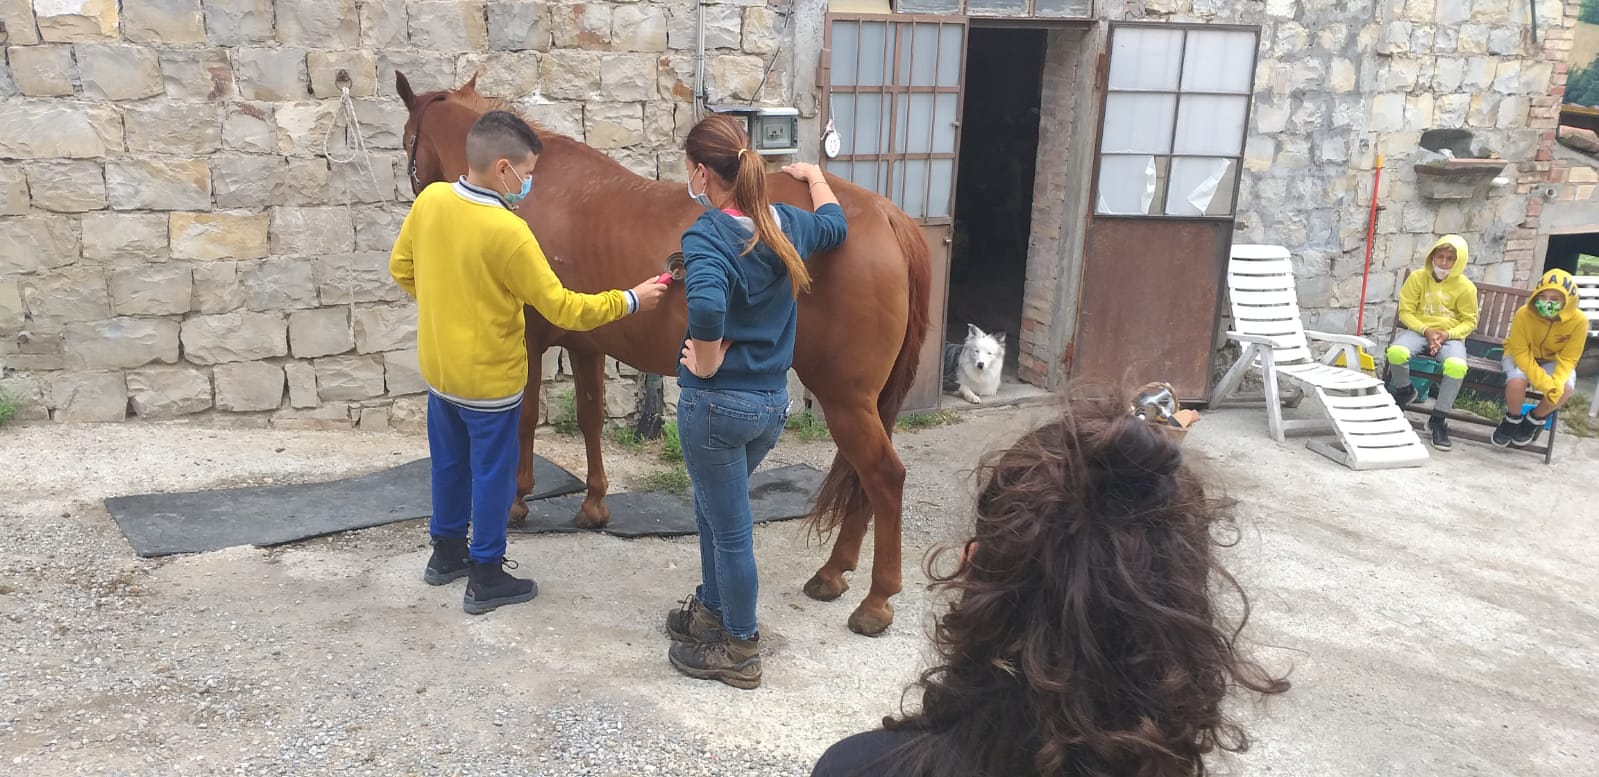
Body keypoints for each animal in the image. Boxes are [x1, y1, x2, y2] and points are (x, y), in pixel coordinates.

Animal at [394, 71, 931, 637]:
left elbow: (523, 424)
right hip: (864, 402)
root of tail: (886, 216)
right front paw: (594, 505)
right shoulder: (586, 342)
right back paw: (833, 573)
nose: (415, 194)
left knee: (883, 477)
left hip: (844, 399)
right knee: (860, 480)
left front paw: (518, 502)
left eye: (407, 140)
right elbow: (589, 418)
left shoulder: (531, 341)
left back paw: (875, 600)